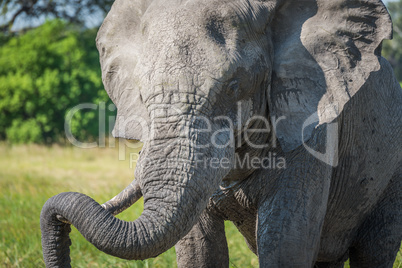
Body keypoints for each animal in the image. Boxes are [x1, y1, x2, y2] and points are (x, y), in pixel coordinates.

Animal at [38, 0, 402, 266]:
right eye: (141, 95)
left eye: (233, 85)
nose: (59, 222)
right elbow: (199, 250)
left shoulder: (313, 123)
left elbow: (285, 243)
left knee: (374, 249)